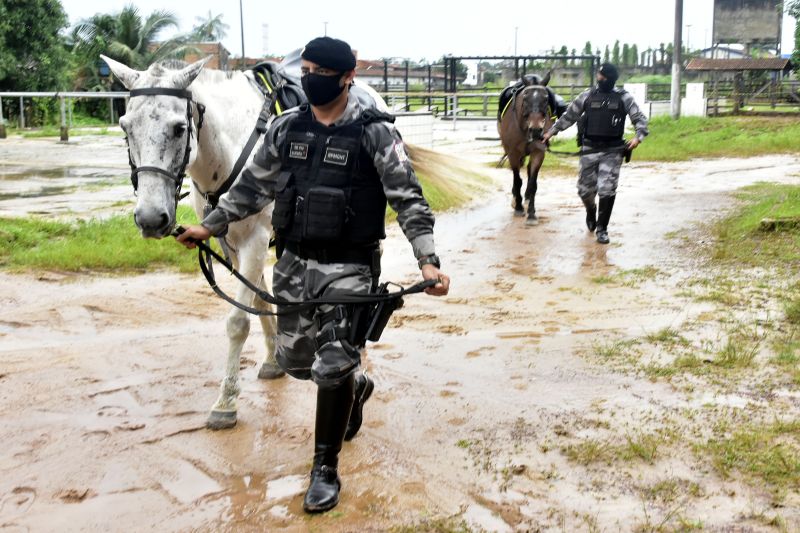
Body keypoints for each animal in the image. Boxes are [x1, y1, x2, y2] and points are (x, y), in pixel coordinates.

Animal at [103, 54, 390, 428]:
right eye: (125, 127)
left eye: (179, 128)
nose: (151, 218)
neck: (231, 148)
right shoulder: (234, 243)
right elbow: (258, 299)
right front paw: (272, 360)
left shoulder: (255, 239)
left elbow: (238, 321)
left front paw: (226, 402)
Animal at [496, 72, 552, 224]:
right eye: (525, 98)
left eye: (546, 98)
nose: (536, 130)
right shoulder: (513, 153)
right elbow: (517, 180)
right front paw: (518, 207)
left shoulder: (538, 152)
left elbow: (532, 183)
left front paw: (531, 213)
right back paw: (517, 201)